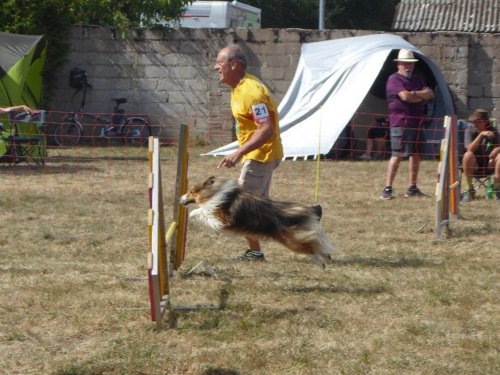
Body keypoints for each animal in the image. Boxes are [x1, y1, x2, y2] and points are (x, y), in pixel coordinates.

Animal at [178, 177, 334, 268]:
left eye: (191, 191)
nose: (179, 198)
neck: (213, 193)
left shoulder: (222, 219)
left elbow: (202, 210)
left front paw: (192, 214)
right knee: (315, 245)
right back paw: (325, 258)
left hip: (291, 241)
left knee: (311, 248)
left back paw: (322, 262)